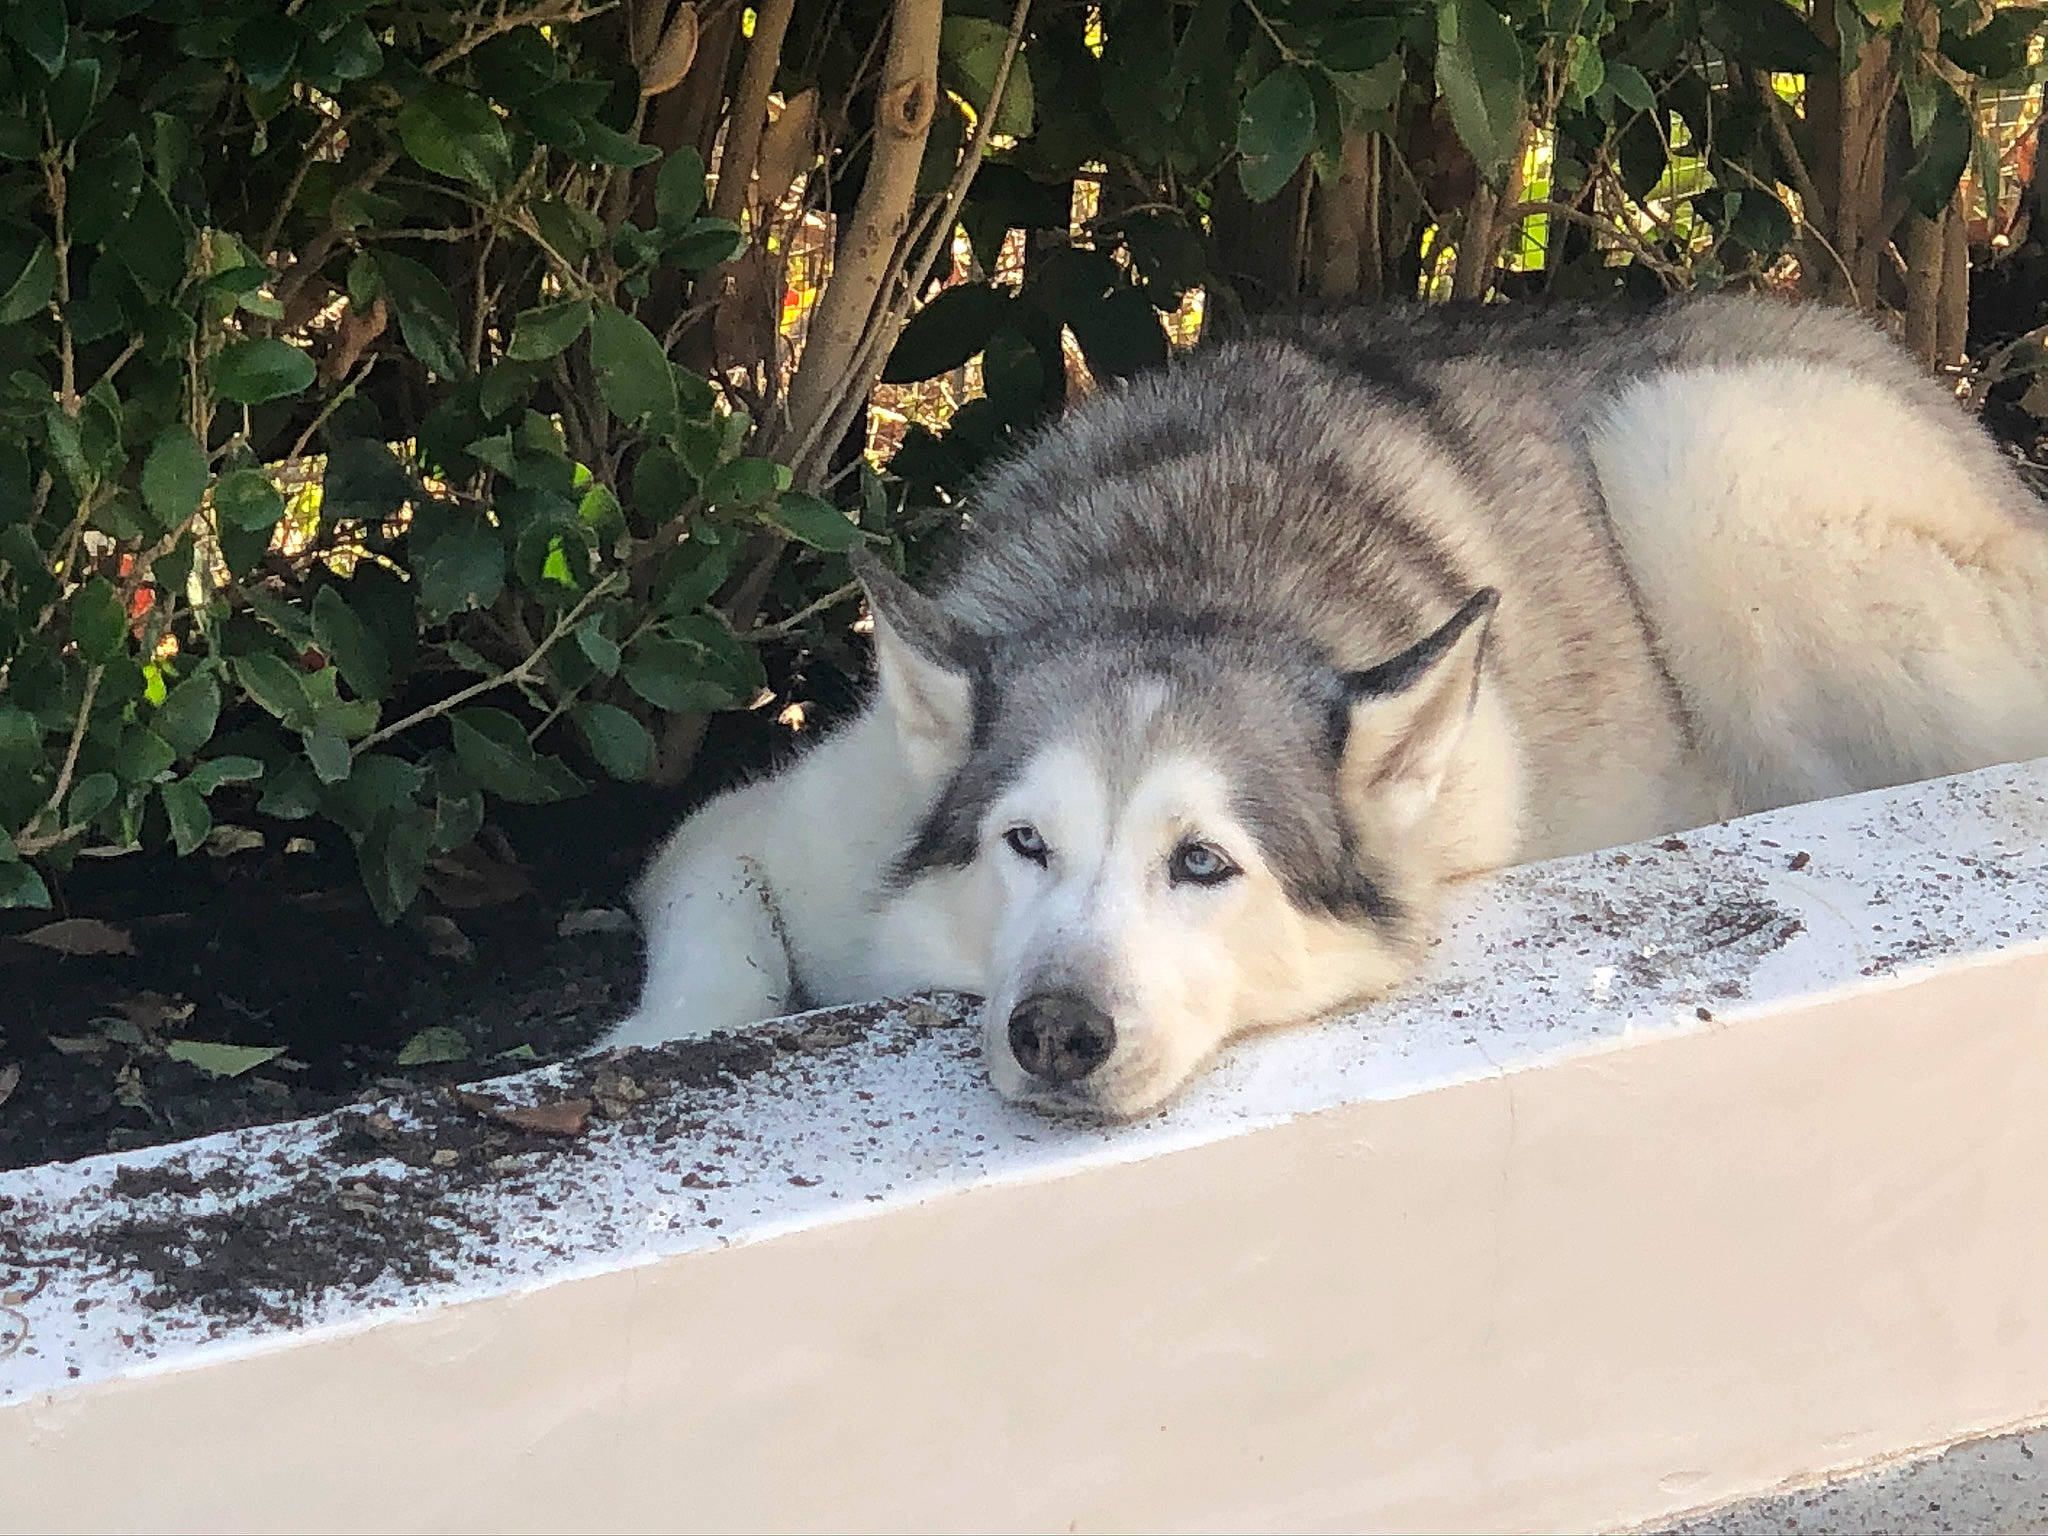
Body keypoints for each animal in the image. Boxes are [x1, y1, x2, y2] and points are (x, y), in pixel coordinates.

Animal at [600, 293, 2048, 1119]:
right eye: (1025, 846)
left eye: (1203, 864)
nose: (1054, 1030)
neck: (1183, 578)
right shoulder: (772, 830)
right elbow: (710, 928)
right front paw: (663, 1037)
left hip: (1696, 455)